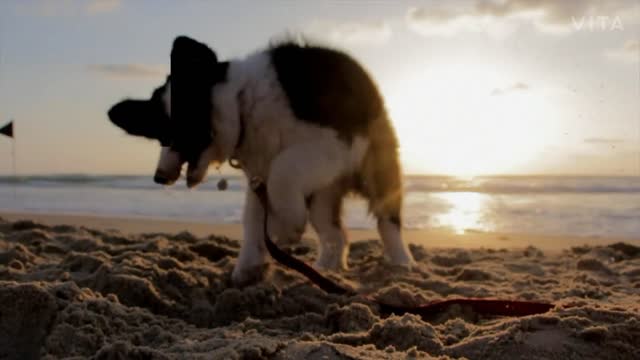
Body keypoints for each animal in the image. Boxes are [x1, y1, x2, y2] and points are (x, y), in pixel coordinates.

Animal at [108, 35, 416, 284]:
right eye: (161, 136)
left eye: (184, 128)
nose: (159, 177)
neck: (243, 102)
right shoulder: (259, 173)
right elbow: (254, 218)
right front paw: (248, 266)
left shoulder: (333, 143)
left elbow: (283, 171)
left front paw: (285, 228)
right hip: (323, 194)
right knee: (335, 234)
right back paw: (327, 268)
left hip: (375, 166)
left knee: (387, 221)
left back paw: (402, 263)